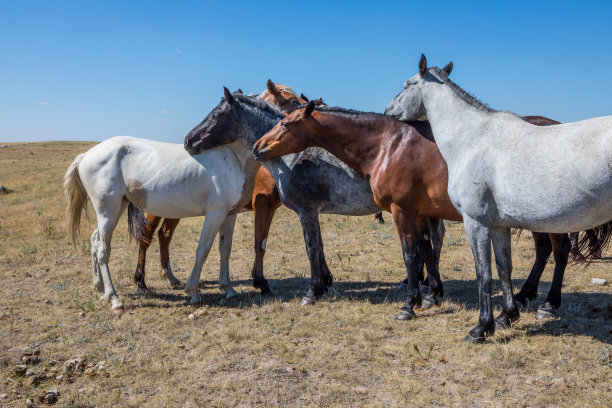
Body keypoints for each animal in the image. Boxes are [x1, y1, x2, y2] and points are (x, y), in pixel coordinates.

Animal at [64, 135, 258, 310]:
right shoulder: (215, 214)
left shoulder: (229, 215)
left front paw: (229, 289)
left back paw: (100, 289)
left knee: (95, 241)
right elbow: (202, 251)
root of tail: (86, 156)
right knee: (103, 250)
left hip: (116, 209)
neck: (233, 157)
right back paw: (114, 299)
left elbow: (225, 250)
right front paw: (193, 293)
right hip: (108, 212)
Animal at [184, 89, 448, 306]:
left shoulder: (305, 210)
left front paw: (312, 291)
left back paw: (425, 287)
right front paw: (323, 284)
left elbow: (308, 247)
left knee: (430, 241)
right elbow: (319, 247)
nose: (188, 140)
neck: (294, 156)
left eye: (215, 116)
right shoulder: (311, 212)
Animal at [388, 54, 612, 342]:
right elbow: (505, 268)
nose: (387, 111)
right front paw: (507, 316)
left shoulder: (476, 222)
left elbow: (483, 273)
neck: (471, 139)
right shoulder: (499, 225)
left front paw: (481, 327)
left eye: (407, 85)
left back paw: (547, 305)